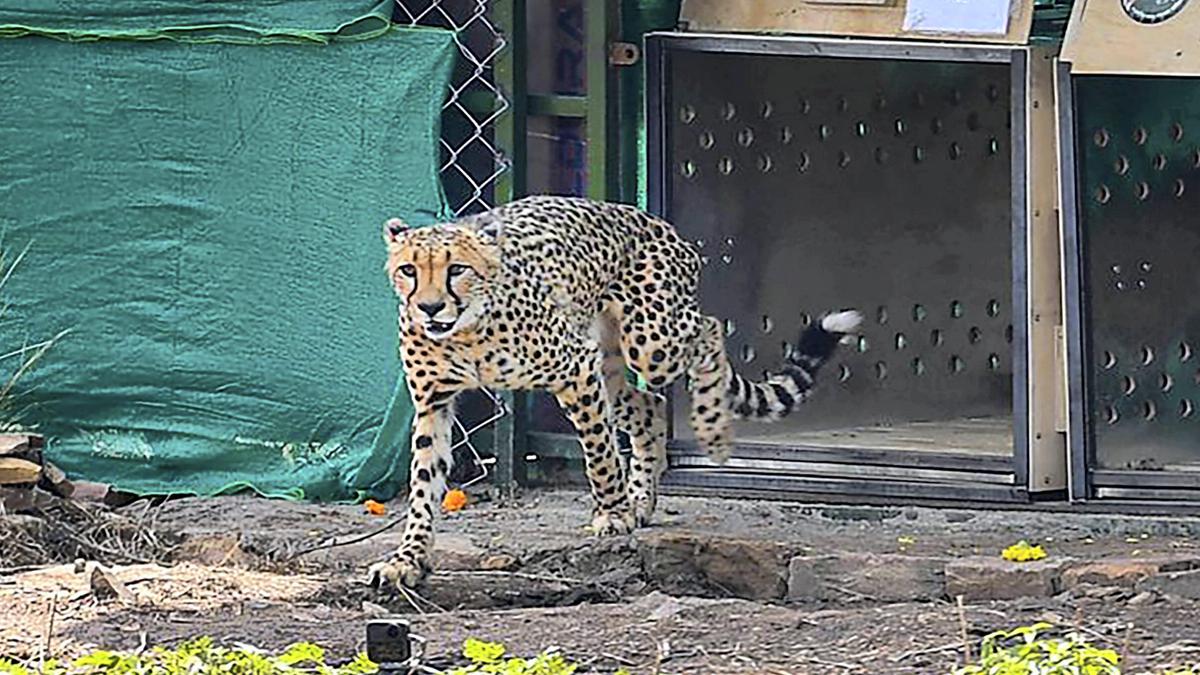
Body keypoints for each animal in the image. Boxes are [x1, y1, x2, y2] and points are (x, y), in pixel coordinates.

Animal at [369, 194, 859, 588]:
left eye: (457, 269)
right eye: (409, 270)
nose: (430, 308)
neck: (465, 332)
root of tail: (651, 219)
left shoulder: (576, 370)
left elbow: (599, 453)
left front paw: (613, 512)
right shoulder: (433, 403)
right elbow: (423, 486)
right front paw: (407, 559)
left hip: (653, 343)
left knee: (708, 330)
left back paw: (709, 429)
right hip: (614, 368)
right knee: (650, 405)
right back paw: (643, 497)